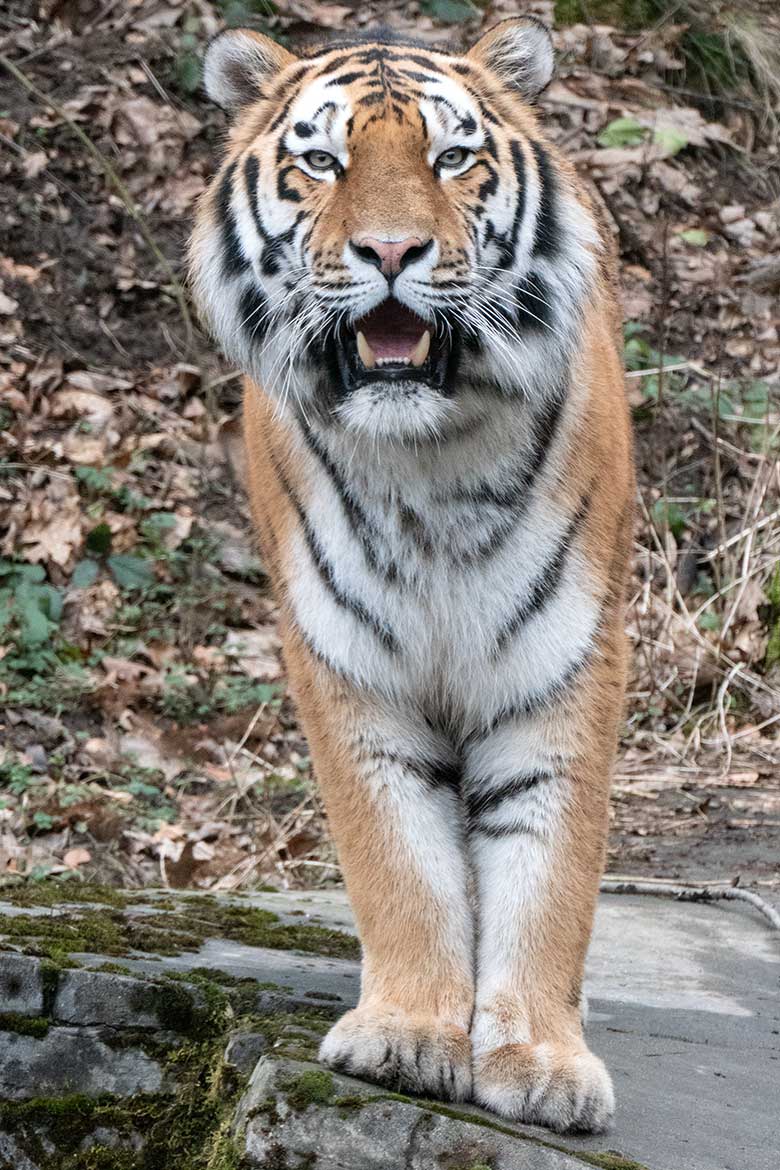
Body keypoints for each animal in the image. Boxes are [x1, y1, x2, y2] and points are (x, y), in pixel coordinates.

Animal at [189, 16, 636, 1132]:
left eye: (452, 156)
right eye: (321, 161)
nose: (391, 252)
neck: (428, 459)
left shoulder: (566, 653)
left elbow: (550, 864)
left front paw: (541, 1057)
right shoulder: (347, 658)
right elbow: (399, 860)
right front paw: (408, 1034)